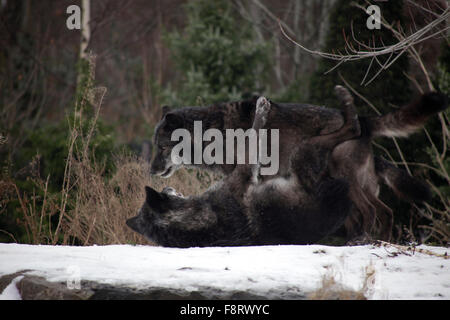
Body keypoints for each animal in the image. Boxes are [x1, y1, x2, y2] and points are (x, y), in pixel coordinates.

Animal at [150, 87, 446, 240]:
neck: (214, 133)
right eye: (154, 145)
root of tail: (366, 122)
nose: (151, 171)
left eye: (162, 147)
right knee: (380, 213)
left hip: (345, 180)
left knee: (376, 211)